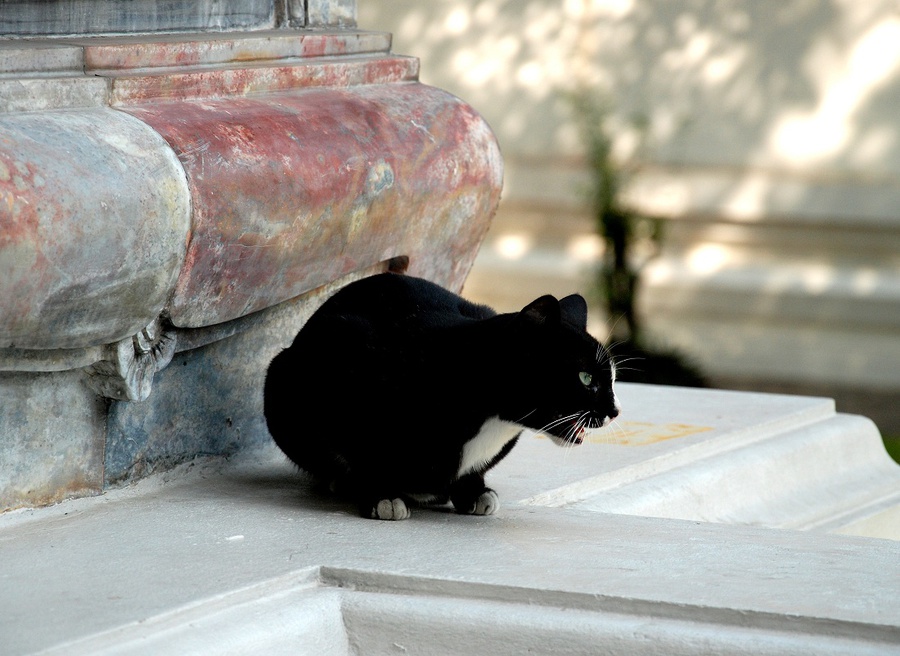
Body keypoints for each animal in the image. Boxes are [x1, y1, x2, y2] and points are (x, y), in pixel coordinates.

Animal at [264, 270, 624, 516]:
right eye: (586, 378)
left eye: (613, 379)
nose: (615, 410)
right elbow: (363, 455)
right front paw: (380, 495)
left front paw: (473, 492)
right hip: (282, 375)